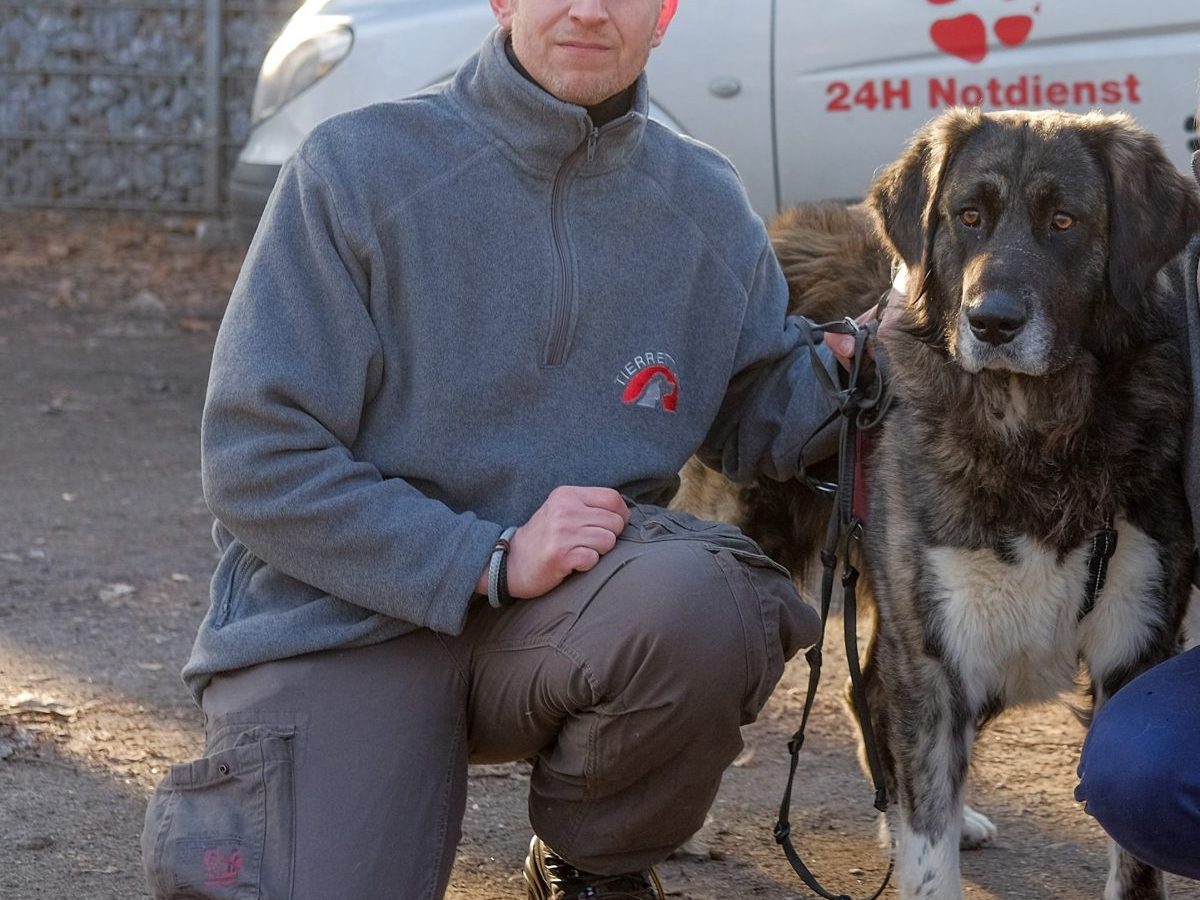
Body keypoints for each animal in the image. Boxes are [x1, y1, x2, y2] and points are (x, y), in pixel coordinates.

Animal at [676, 111, 1200, 900]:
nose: (992, 322)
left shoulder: (1131, 648)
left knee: (867, 690)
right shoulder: (937, 649)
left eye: (1064, 221)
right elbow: (931, 859)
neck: (1033, 431)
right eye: (969, 217)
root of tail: (775, 228)